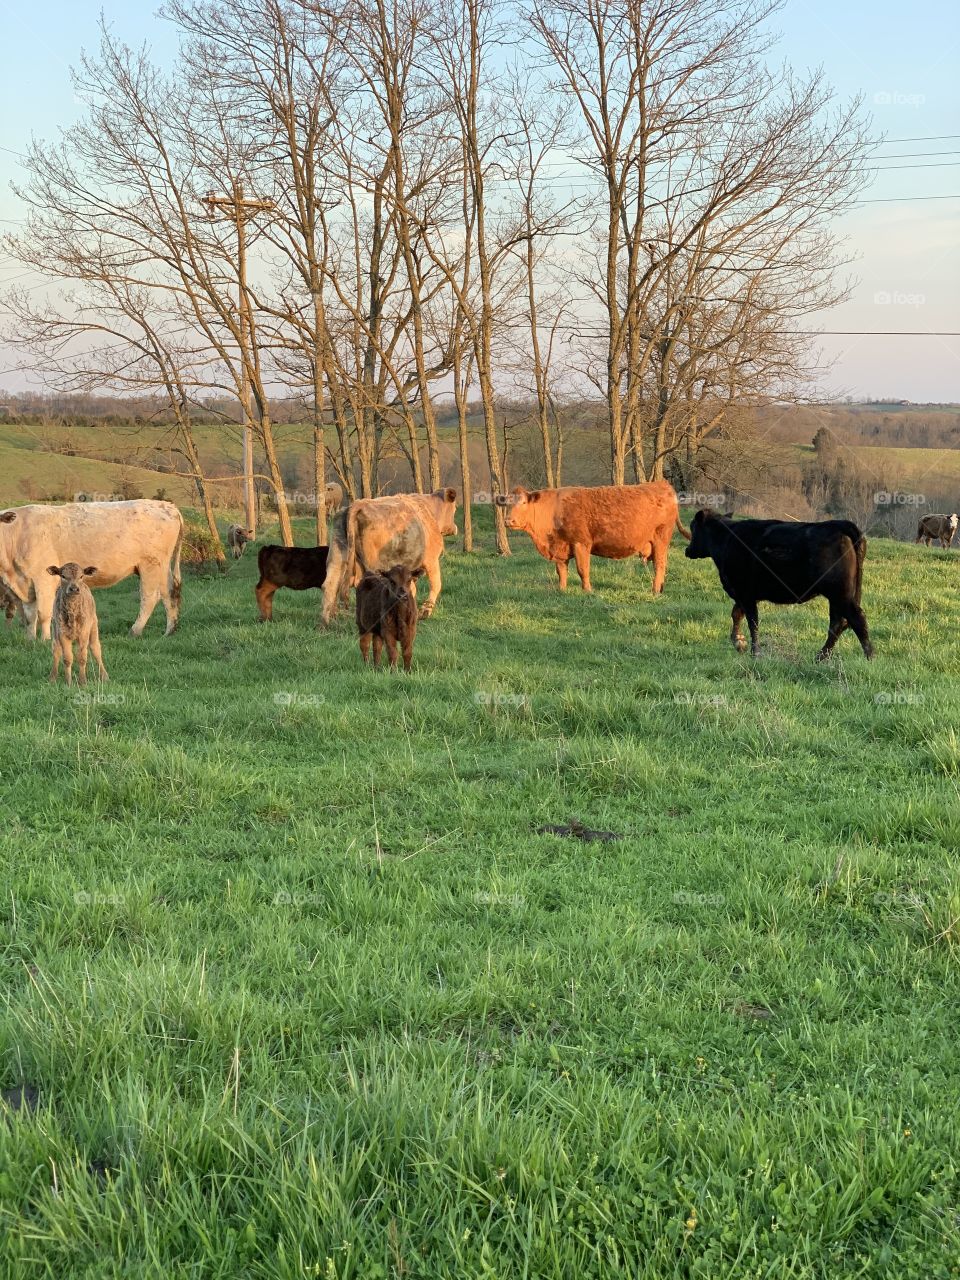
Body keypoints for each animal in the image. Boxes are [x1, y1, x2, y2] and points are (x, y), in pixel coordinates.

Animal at [0, 500, 183, 642]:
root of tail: (167, 506)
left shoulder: (44, 579)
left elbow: (43, 613)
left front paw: (45, 640)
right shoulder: (25, 581)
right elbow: (29, 616)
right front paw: (30, 640)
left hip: (151, 565)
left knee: (149, 598)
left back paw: (135, 631)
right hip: (161, 567)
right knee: (170, 592)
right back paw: (169, 631)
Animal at [321, 488, 458, 626]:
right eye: (455, 508)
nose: (455, 528)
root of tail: (358, 504)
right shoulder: (432, 560)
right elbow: (436, 584)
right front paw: (424, 612)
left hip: (337, 557)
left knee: (330, 586)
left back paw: (327, 623)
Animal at [503, 481, 689, 594]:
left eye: (523, 502)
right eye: (507, 503)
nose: (508, 520)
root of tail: (661, 484)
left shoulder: (581, 543)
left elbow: (582, 569)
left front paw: (587, 590)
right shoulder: (560, 547)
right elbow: (561, 571)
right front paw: (562, 590)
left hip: (661, 539)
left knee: (660, 565)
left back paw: (655, 590)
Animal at [684, 509, 873, 661]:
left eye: (693, 527)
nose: (687, 550)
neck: (726, 538)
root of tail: (838, 524)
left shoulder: (745, 592)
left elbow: (752, 622)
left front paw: (754, 653)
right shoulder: (744, 594)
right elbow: (737, 614)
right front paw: (739, 642)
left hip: (839, 593)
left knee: (856, 619)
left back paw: (869, 657)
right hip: (837, 596)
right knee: (837, 624)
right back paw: (820, 657)